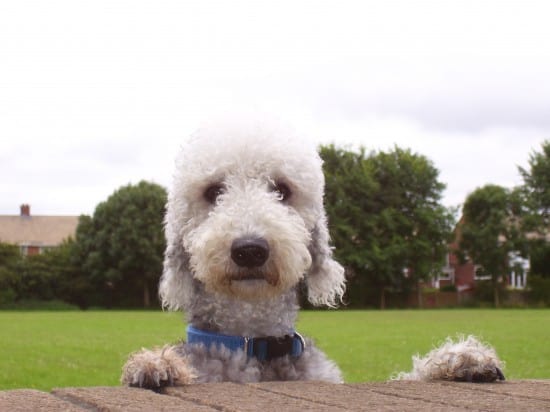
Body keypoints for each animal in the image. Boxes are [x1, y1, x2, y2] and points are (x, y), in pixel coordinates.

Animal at [123, 116, 506, 390]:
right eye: (214, 191)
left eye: (282, 189)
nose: (250, 250)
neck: (254, 344)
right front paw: (158, 364)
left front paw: (462, 359)